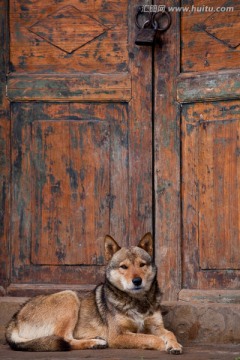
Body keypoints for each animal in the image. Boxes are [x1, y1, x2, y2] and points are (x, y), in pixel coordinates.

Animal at [5, 233, 182, 354]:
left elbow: (170, 333)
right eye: (123, 267)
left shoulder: (156, 326)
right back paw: (94, 343)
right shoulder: (118, 336)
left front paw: (174, 345)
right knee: (65, 339)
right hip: (69, 296)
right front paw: (162, 344)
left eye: (142, 265)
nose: (137, 281)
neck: (138, 301)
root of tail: (15, 318)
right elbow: (150, 338)